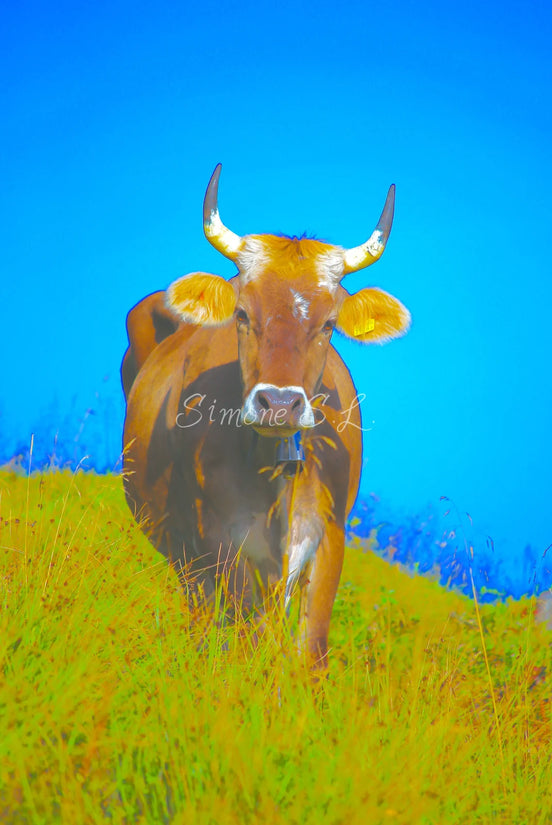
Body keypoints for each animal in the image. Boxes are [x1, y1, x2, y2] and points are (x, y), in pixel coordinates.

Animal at [122, 164, 410, 667]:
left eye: (329, 323)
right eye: (241, 313)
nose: (278, 404)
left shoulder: (329, 537)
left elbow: (310, 647)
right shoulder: (220, 541)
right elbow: (250, 640)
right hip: (182, 549)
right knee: (203, 615)